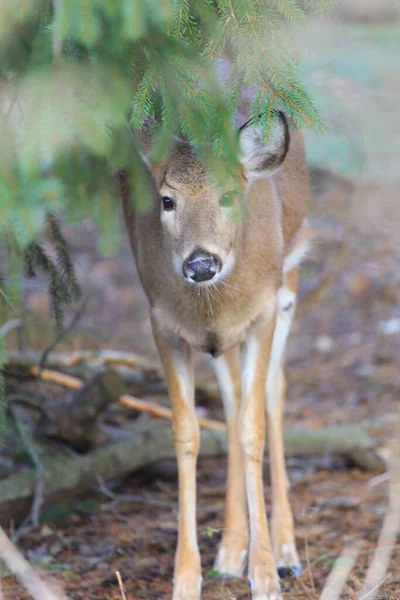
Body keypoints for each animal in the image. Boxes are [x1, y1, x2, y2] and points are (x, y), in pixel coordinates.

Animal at [120, 111, 310, 600]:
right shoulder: (163, 322)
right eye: (167, 200)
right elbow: (188, 432)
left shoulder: (264, 311)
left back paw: (286, 550)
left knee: (274, 391)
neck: (212, 304)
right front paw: (187, 577)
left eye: (228, 195)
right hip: (219, 343)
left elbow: (253, 428)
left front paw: (265, 575)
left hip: (291, 279)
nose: (201, 263)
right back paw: (229, 551)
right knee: (231, 402)